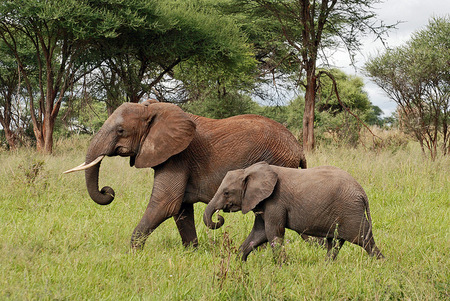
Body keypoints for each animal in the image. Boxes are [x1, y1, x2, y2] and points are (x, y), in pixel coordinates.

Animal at [66, 98, 306, 248]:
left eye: (120, 130)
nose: (107, 190)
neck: (153, 109)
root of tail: (299, 148)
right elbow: (180, 208)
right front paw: (192, 251)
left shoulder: (178, 156)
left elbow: (165, 203)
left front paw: (133, 252)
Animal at [204, 162, 384, 260]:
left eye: (226, 192)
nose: (219, 217)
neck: (249, 171)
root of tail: (362, 193)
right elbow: (258, 234)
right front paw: (238, 262)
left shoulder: (275, 202)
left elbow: (273, 233)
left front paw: (281, 267)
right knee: (334, 243)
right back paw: (326, 266)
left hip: (350, 211)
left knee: (364, 239)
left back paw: (380, 264)